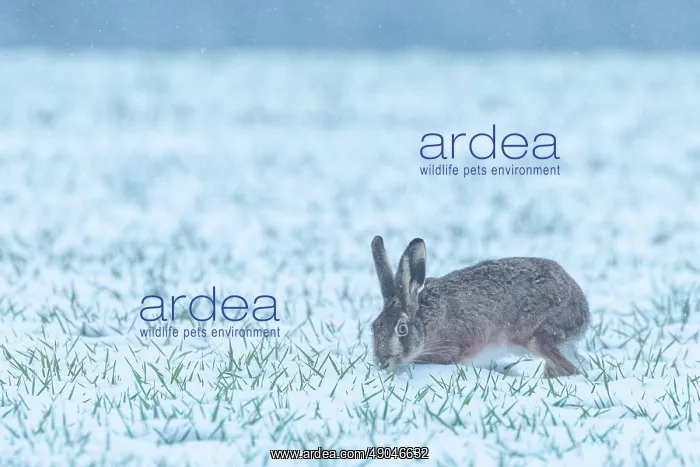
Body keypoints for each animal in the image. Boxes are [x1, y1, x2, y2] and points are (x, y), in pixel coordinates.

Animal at [370, 235, 590, 378]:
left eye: (402, 328)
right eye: (374, 327)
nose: (382, 362)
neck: (425, 324)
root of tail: (583, 309)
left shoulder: (448, 350)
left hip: (539, 336)